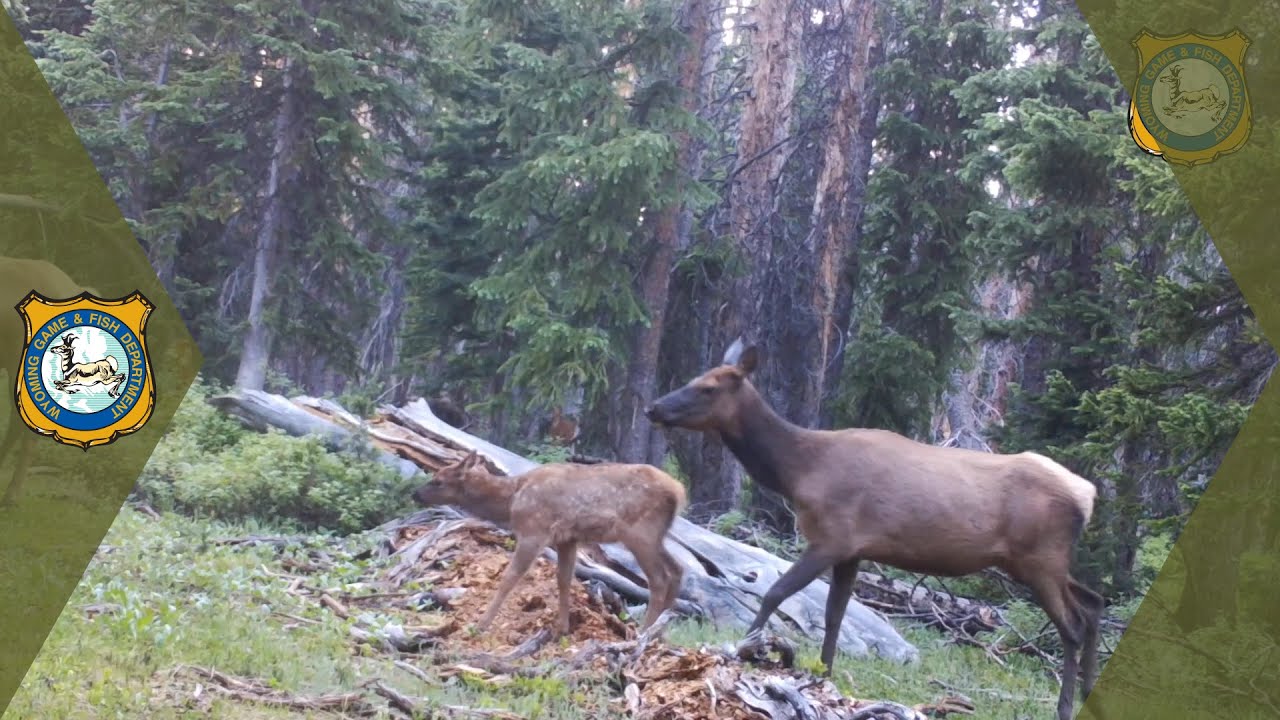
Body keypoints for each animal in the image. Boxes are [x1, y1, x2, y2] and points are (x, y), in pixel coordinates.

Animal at [411, 449, 687, 637]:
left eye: (439, 480)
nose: (415, 494)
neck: (511, 501)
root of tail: (678, 491)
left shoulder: (534, 531)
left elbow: (510, 577)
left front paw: (481, 624)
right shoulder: (568, 538)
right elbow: (563, 579)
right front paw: (561, 628)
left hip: (639, 532)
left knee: (659, 578)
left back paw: (644, 631)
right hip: (655, 535)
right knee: (677, 569)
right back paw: (660, 632)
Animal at [645, 339, 1104, 720]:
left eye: (708, 388)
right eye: (693, 379)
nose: (654, 408)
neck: (798, 471)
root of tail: (1088, 495)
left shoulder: (830, 538)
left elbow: (775, 592)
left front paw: (746, 650)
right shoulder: (852, 551)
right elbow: (834, 615)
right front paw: (823, 676)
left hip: (1038, 559)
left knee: (1072, 626)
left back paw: (1066, 706)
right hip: (1043, 562)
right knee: (1093, 603)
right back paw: (1089, 693)